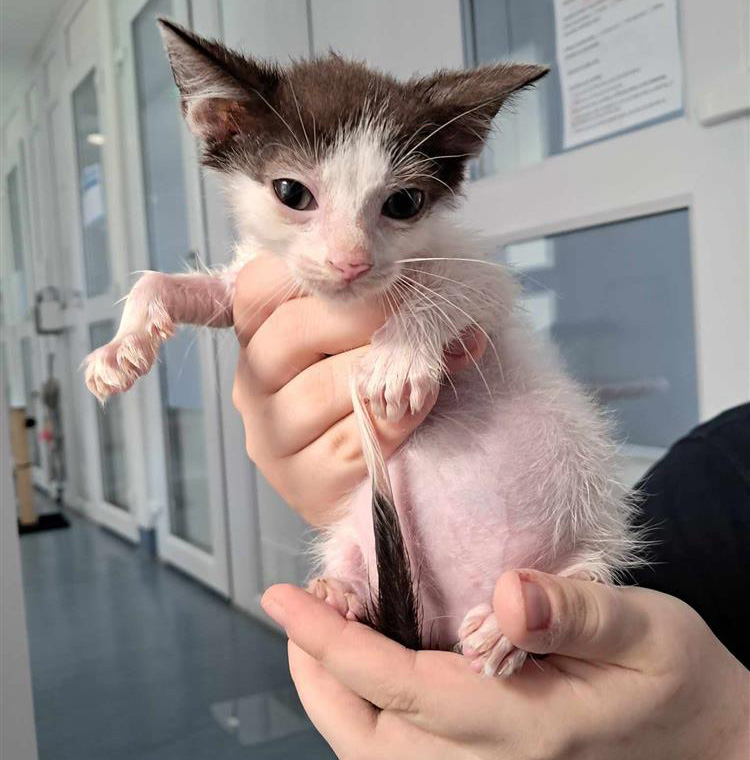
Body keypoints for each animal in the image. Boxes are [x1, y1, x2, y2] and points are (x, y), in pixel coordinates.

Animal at [86, 19, 640, 676]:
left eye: (403, 204)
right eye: (291, 192)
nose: (352, 262)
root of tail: (446, 624)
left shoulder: (480, 271)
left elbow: (447, 286)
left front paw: (399, 356)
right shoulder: (254, 281)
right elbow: (168, 283)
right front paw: (120, 351)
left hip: (593, 513)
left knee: (595, 562)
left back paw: (513, 627)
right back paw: (340, 591)